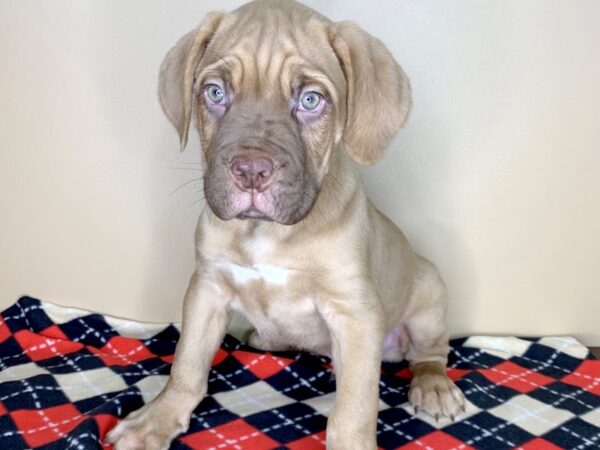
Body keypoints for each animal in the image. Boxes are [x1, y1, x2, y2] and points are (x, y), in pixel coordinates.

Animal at [106, 0, 464, 450]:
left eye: (311, 99)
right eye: (215, 92)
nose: (250, 170)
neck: (267, 232)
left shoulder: (355, 313)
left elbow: (353, 409)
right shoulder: (207, 288)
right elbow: (187, 362)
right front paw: (159, 417)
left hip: (431, 293)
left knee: (430, 355)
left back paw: (433, 385)